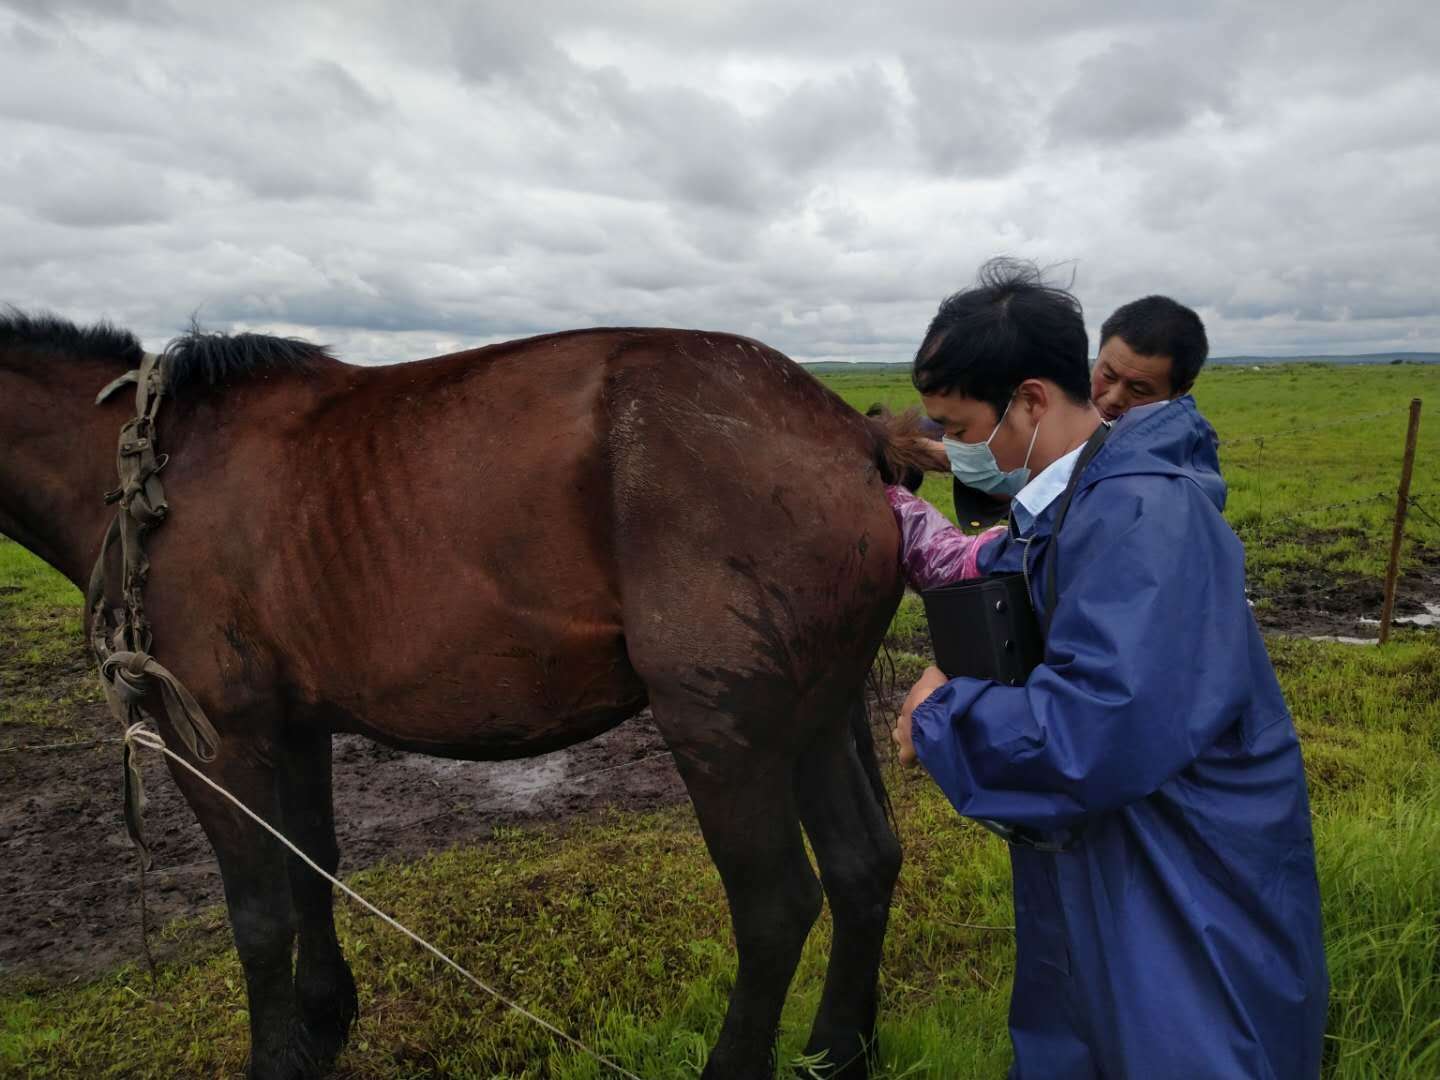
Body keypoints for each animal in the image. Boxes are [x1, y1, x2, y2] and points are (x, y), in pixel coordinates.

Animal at [123, 720, 642, 1080]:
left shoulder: (218, 736)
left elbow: (261, 924)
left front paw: (279, 1061)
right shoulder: (294, 720)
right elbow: (309, 860)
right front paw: (322, 1022)